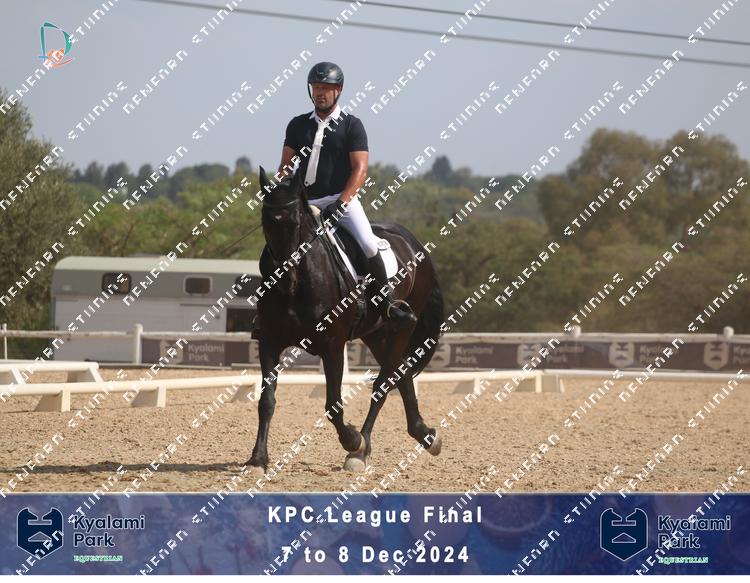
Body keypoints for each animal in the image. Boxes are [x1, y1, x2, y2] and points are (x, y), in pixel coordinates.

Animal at [247, 166, 444, 475]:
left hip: (401, 325)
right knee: (402, 374)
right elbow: (266, 401)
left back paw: (361, 450)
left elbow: (333, 404)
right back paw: (424, 434)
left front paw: (352, 440)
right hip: (376, 333)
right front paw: (257, 460)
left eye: (295, 223)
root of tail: (415, 244)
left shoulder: (332, 345)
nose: (283, 276)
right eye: (266, 222)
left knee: (384, 383)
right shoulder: (269, 340)